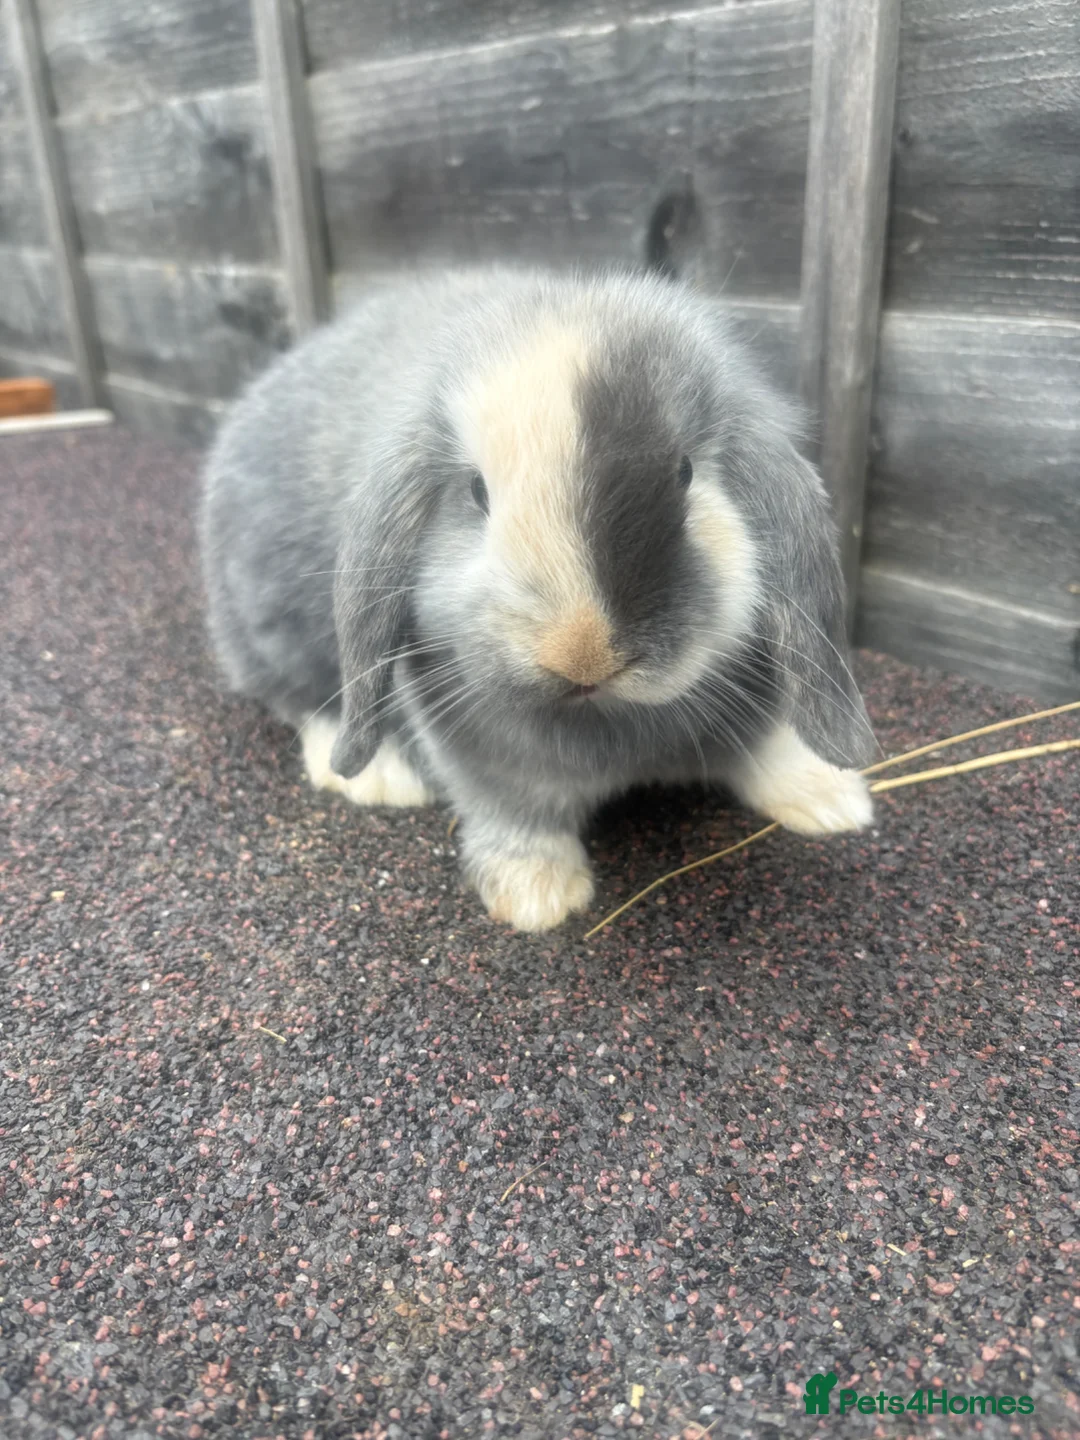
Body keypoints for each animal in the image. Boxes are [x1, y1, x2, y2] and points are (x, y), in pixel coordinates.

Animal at [200, 265, 876, 933]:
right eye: (477, 492)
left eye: (683, 474)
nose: (582, 654)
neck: (609, 719)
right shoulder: (489, 765)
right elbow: (517, 816)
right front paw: (539, 896)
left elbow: (769, 744)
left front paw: (834, 801)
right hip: (273, 621)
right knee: (300, 699)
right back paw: (380, 777)